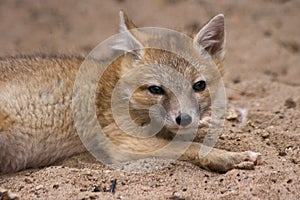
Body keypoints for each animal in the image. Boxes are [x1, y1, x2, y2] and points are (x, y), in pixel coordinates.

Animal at [0, 11, 262, 173]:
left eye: (199, 86)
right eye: (155, 89)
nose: (185, 118)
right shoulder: (122, 142)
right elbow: (190, 148)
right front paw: (229, 157)